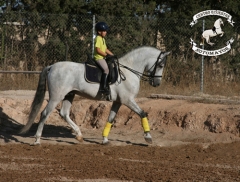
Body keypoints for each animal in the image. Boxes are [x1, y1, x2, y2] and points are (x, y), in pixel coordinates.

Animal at [20, 46, 171, 145]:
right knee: (45, 113)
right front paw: (148, 137)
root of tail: (52, 66)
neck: (129, 71)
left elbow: (110, 119)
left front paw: (104, 139)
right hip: (56, 96)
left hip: (69, 95)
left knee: (64, 113)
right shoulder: (128, 100)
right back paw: (37, 140)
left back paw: (79, 135)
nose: (157, 83)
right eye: (161, 64)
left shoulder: (118, 101)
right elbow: (143, 113)